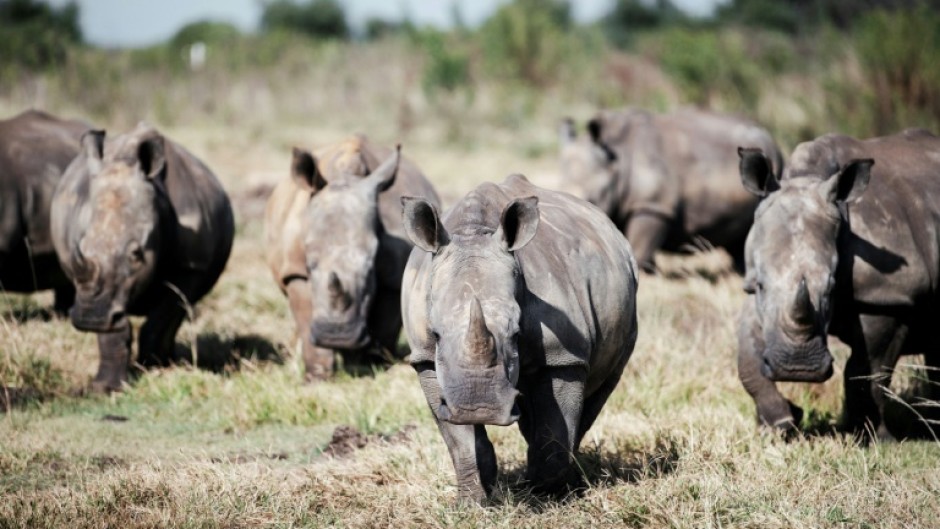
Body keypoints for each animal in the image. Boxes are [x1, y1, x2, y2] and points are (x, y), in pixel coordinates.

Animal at [51, 123, 234, 392]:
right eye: (82, 247)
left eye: (136, 254)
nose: (89, 318)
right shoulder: (98, 289)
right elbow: (113, 329)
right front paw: (104, 388)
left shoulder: (192, 266)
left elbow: (162, 317)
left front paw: (155, 370)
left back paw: (168, 361)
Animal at [264, 135, 440, 380]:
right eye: (310, 264)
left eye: (370, 268)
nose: (338, 335)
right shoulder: (295, 270)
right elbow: (306, 317)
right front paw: (317, 377)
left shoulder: (394, 275)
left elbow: (385, 324)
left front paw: (369, 365)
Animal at [401, 174, 638, 503]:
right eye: (435, 333)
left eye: (516, 332)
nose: (480, 408)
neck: (473, 231)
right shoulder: (424, 358)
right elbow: (460, 439)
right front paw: (473, 501)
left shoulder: (562, 356)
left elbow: (555, 428)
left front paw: (546, 495)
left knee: (601, 388)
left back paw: (566, 479)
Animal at [737, 129, 940, 440]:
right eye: (760, 285)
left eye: (832, 287)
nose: (797, 369)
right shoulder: (754, 289)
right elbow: (747, 358)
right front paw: (780, 423)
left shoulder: (888, 296)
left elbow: (867, 372)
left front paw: (875, 439)